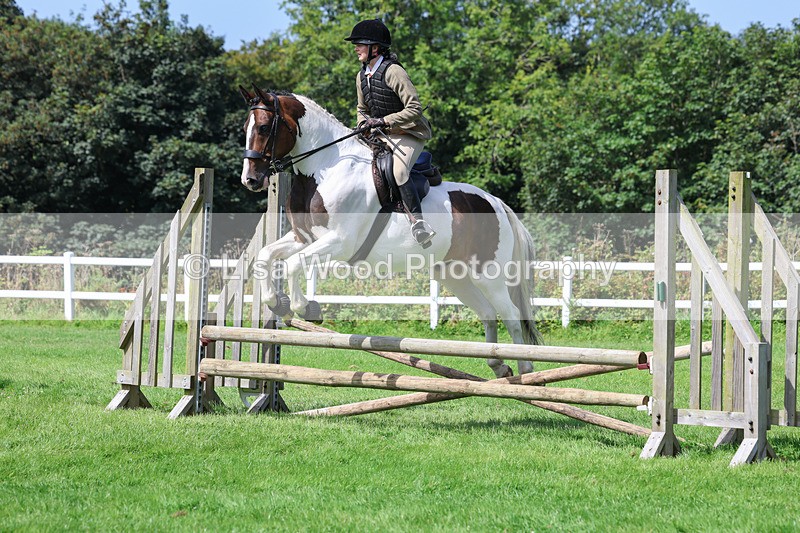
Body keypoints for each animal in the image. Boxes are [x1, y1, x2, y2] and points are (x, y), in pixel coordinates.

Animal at [238, 87, 543, 378]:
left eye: (263, 127)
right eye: (245, 128)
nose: (250, 180)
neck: (324, 169)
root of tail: (496, 203)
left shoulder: (339, 242)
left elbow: (292, 264)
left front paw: (305, 308)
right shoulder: (304, 238)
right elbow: (266, 256)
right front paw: (276, 302)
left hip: (488, 273)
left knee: (512, 315)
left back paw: (525, 368)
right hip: (455, 275)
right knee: (488, 313)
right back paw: (498, 365)